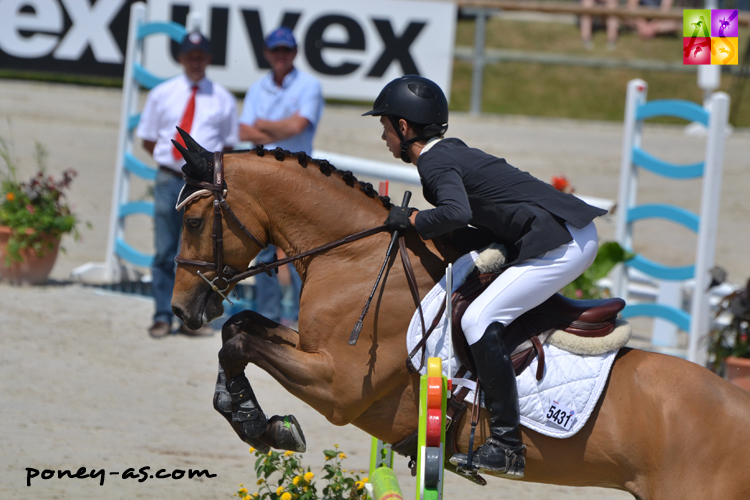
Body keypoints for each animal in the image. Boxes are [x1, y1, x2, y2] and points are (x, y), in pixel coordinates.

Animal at [170, 136, 750, 500]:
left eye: (195, 221)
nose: (181, 307)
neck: (354, 256)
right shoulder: (313, 350)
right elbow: (239, 329)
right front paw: (248, 415)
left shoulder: (338, 387)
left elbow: (242, 340)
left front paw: (262, 424)